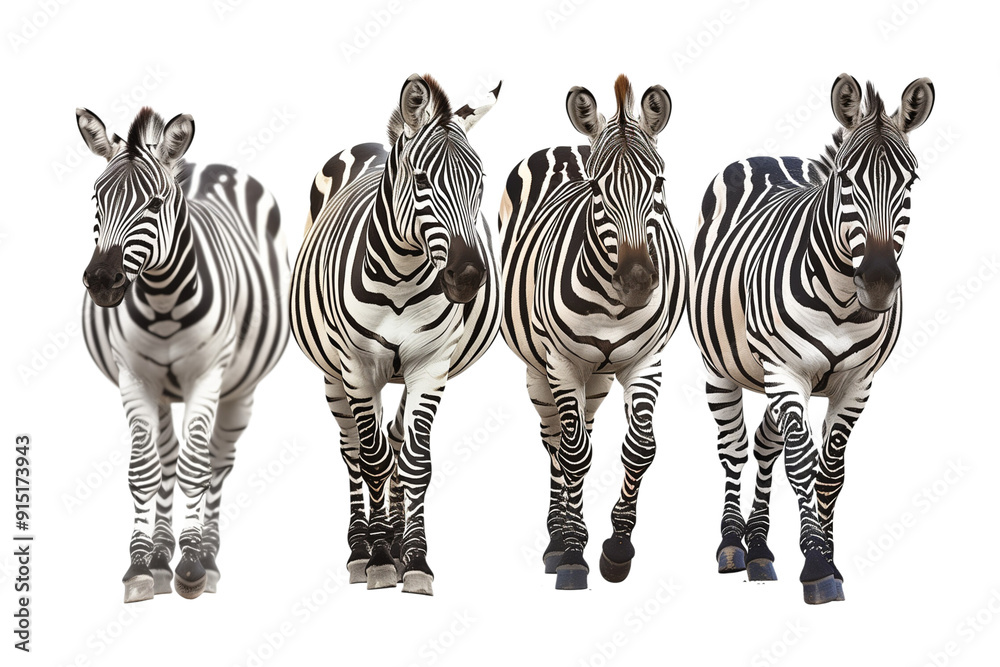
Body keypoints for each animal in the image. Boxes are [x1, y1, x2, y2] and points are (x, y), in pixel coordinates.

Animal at [76, 106, 290, 602]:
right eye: (96, 198)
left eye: (154, 204)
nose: (102, 281)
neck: (163, 301)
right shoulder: (134, 377)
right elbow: (145, 469)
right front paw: (140, 565)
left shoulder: (207, 377)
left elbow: (197, 467)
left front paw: (191, 563)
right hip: (160, 391)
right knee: (168, 456)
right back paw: (159, 556)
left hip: (240, 390)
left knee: (218, 462)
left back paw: (207, 557)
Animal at [290, 74, 501, 596]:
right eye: (422, 181)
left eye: (481, 182)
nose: (469, 278)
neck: (401, 277)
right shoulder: (357, 367)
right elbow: (373, 461)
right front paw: (380, 557)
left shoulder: (431, 365)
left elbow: (414, 463)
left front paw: (416, 559)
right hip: (335, 376)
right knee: (353, 453)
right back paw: (361, 548)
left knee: (396, 438)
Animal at [499, 75, 687, 590]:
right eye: (598, 190)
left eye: (660, 183)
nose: (638, 281)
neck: (612, 306)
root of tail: (567, 145)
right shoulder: (562, 363)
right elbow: (574, 454)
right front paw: (571, 553)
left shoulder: (646, 361)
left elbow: (640, 448)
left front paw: (617, 548)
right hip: (539, 369)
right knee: (555, 441)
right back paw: (555, 537)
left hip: (598, 375)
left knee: (580, 428)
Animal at [688, 74, 935, 604]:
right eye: (845, 179)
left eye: (910, 182)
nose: (878, 281)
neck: (842, 303)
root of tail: (766, 156)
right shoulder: (788, 371)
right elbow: (802, 462)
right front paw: (817, 565)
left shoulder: (857, 383)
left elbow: (830, 473)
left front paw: (829, 557)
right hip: (721, 368)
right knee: (734, 448)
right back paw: (732, 545)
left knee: (765, 442)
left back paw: (760, 549)